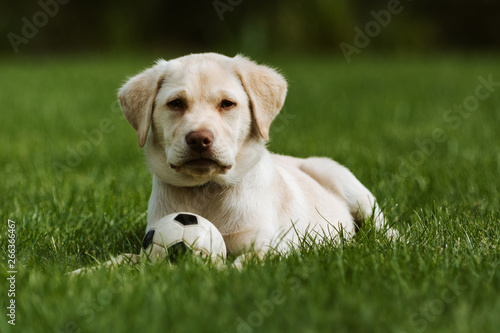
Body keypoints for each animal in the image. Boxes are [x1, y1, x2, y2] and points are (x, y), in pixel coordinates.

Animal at [118, 52, 394, 255]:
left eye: (227, 104)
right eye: (176, 103)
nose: (199, 139)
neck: (206, 190)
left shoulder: (269, 244)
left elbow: (245, 262)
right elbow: (132, 260)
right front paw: (111, 266)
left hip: (346, 183)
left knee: (382, 225)